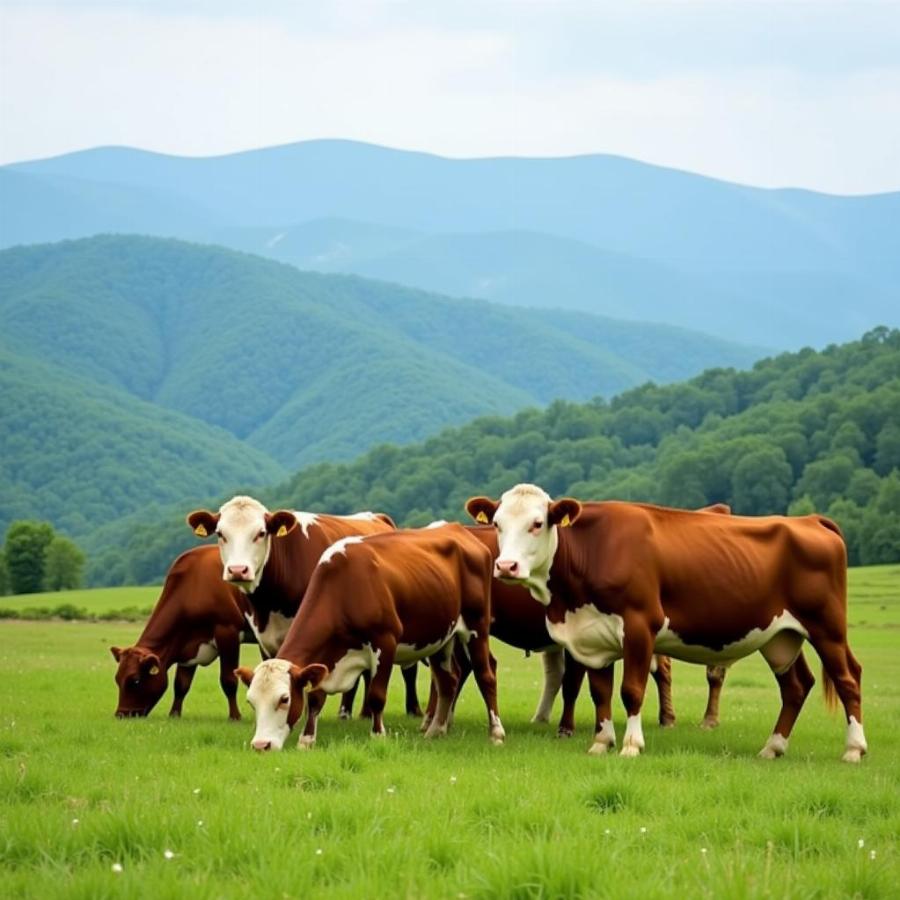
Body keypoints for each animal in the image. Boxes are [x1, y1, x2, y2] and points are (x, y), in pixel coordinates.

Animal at [111, 544, 256, 720]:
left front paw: (235, 716)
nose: (121, 714)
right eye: (117, 679)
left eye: (135, 680)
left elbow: (228, 680)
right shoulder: (187, 646)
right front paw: (174, 714)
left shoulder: (228, 631)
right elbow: (181, 684)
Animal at [185, 496, 422, 720]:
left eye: (261, 533)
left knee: (407, 670)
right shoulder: (264, 637)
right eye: (220, 534)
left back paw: (413, 710)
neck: (270, 604)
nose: (237, 570)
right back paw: (351, 713)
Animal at [236, 520, 502, 752]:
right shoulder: (325, 658)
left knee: (485, 676)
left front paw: (378, 735)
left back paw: (496, 733)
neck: (344, 589)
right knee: (448, 681)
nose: (261, 745)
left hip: (476, 626)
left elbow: (376, 696)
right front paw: (307, 739)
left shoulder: (385, 642)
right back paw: (435, 731)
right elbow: (315, 698)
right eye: (251, 702)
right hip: (440, 637)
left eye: (284, 699)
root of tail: (458, 528)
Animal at [464, 488, 864, 764]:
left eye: (537, 523)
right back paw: (773, 746)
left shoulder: (640, 626)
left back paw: (854, 748)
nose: (506, 566)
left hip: (826, 628)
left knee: (848, 678)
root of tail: (808, 520)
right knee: (796, 685)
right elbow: (600, 692)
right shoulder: (593, 638)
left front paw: (630, 744)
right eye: (497, 524)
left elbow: (631, 691)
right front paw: (601, 742)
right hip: (779, 637)